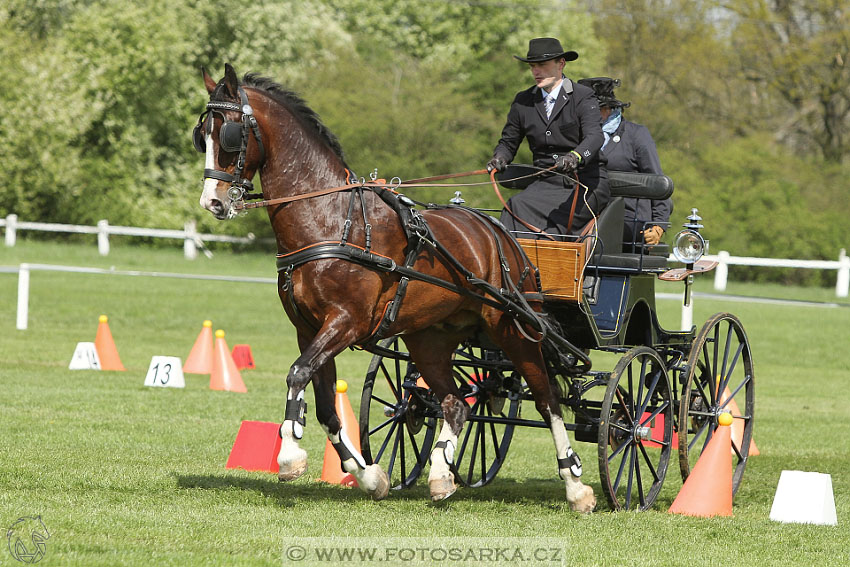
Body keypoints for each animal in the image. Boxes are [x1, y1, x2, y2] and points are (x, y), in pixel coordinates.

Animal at [195, 64, 592, 512]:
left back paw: (575, 484)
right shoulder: (309, 330)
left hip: (513, 330)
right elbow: (326, 407)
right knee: (456, 403)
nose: (213, 202)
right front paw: (370, 476)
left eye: (229, 134)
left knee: (547, 399)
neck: (332, 219)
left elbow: (297, 375)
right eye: (201, 134)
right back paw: (440, 476)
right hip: (429, 338)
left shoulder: (345, 322)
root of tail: (499, 233)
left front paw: (290, 455)